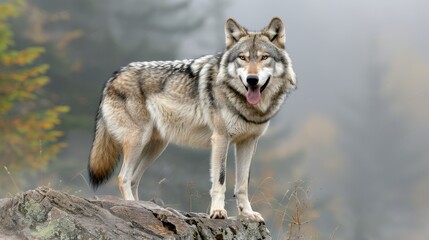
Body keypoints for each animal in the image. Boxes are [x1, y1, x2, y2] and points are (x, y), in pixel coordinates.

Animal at [87, 16, 294, 222]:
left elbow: (242, 184)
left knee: (133, 179)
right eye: (242, 58)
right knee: (123, 178)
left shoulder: (248, 142)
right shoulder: (221, 138)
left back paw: (142, 207)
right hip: (138, 140)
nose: (252, 79)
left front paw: (248, 214)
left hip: (156, 147)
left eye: (264, 57)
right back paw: (132, 205)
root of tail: (113, 77)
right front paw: (218, 212)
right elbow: (220, 180)